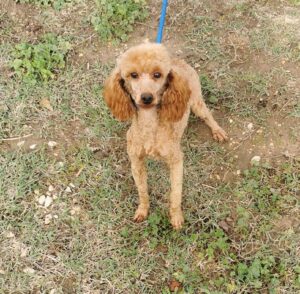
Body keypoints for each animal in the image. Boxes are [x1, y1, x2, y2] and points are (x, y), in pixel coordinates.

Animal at [103, 42, 227, 230]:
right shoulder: (136, 162)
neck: (150, 123)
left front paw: (176, 217)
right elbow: (142, 191)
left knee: (208, 116)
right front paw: (143, 210)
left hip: (196, 101)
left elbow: (175, 193)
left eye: (157, 75)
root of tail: (179, 62)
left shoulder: (176, 161)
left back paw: (218, 131)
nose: (147, 97)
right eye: (133, 75)